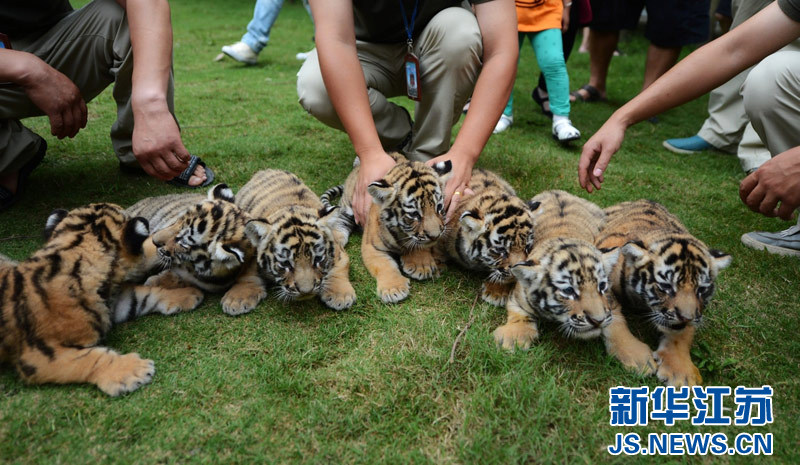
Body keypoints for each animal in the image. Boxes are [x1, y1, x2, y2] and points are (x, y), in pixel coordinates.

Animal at [0, 203, 201, 396]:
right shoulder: (39, 355)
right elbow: (88, 359)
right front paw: (133, 370)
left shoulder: (112, 303)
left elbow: (144, 295)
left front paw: (188, 294)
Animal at [233, 169, 356, 311]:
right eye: (285, 263)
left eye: (318, 259)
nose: (306, 291)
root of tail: (265, 170)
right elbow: (246, 271)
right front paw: (239, 298)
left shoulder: (337, 250)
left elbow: (340, 265)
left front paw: (340, 295)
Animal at [324, 152, 452, 303]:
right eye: (415, 214)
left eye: (439, 207)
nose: (435, 236)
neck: (402, 233)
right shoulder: (371, 247)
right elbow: (385, 266)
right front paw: (394, 289)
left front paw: (420, 265)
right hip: (348, 206)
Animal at [493, 190, 657, 375]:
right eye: (569, 291)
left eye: (601, 286)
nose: (597, 321)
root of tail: (556, 191)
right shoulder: (518, 297)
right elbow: (519, 316)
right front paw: (512, 339)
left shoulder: (611, 303)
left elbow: (617, 325)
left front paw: (639, 358)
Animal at [596, 200, 732, 386]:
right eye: (666, 287)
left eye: (701, 290)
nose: (686, 318)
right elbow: (611, 317)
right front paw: (637, 357)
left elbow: (680, 334)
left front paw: (681, 372)